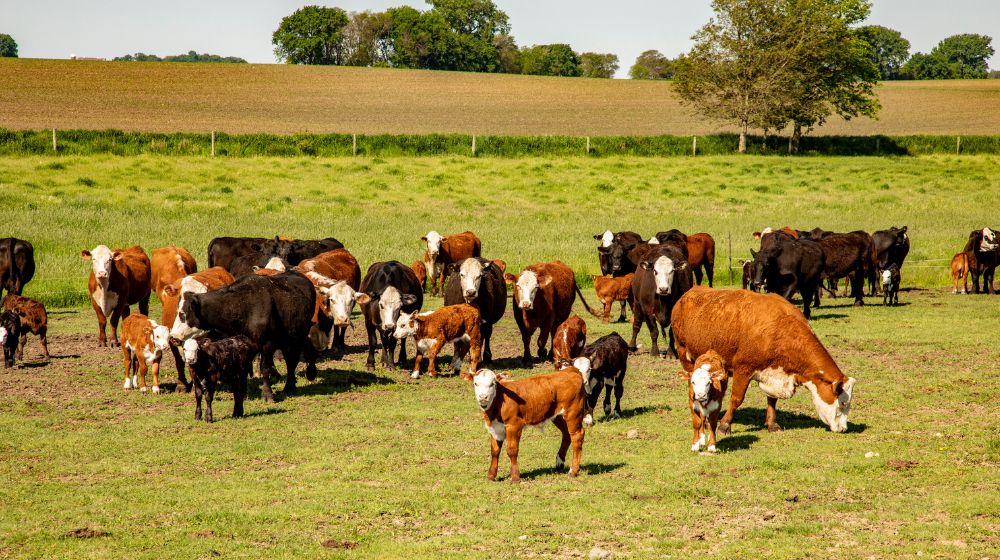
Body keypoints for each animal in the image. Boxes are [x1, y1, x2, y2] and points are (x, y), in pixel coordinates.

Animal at [176, 271, 316, 402]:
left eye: (182, 314)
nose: (174, 336)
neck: (241, 306)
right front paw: (242, 394)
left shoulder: (267, 344)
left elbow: (265, 368)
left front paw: (267, 394)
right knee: (291, 359)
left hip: (299, 336)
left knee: (294, 359)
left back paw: (295, 382)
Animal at [672, 287, 857, 434]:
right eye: (842, 403)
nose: (843, 429)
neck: (781, 330)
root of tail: (688, 294)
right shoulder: (743, 369)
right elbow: (737, 399)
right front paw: (725, 425)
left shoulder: (774, 374)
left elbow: (772, 400)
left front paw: (772, 424)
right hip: (685, 356)